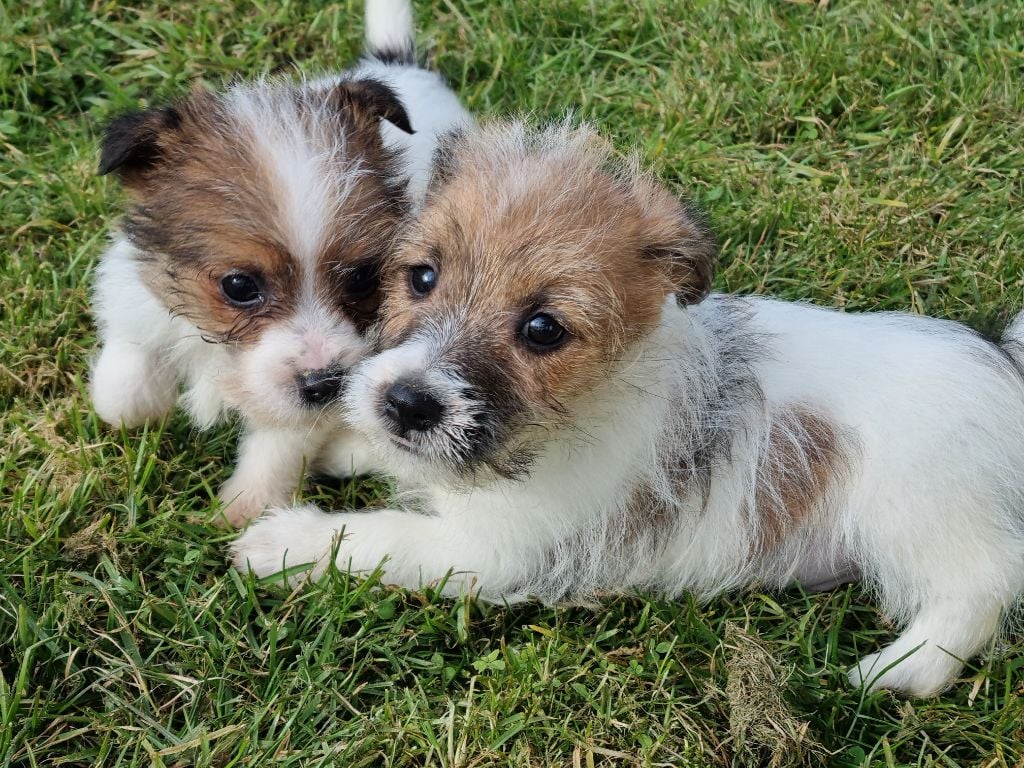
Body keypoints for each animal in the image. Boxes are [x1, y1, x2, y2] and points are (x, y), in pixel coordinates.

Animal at [89, 0, 471, 528]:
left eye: (362, 278)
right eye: (239, 286)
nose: (325, 383)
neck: (223, 358)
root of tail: (400, 66)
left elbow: (279, 446)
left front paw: (246, 509)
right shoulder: (137, 296)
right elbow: (120, 394)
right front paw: (147, 404)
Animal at [232, 118, 1024, 696]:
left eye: (543, 329)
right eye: (421, 277)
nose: (406, 404)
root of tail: (1006, 365)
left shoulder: (488, 549)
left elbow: (377, 537)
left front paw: (284, 543)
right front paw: (345, 444)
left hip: (923, 515)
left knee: (982, 587)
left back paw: (902, 671)